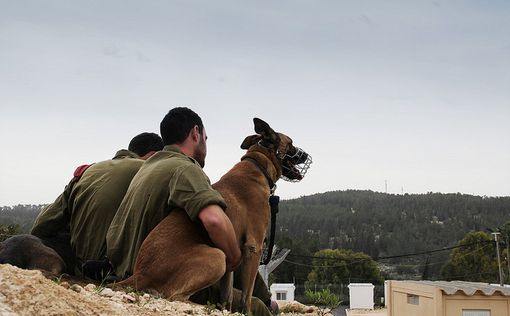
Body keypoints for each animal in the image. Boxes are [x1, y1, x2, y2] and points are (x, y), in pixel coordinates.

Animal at [119, 118, 310, 314]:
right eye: (291, 143)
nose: (305, 156)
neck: (258, 165)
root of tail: (140, 273)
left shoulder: (234, 256)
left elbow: (227, 296)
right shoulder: (253, 248)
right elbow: (247, 296)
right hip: (217, 256)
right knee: (175, 296)